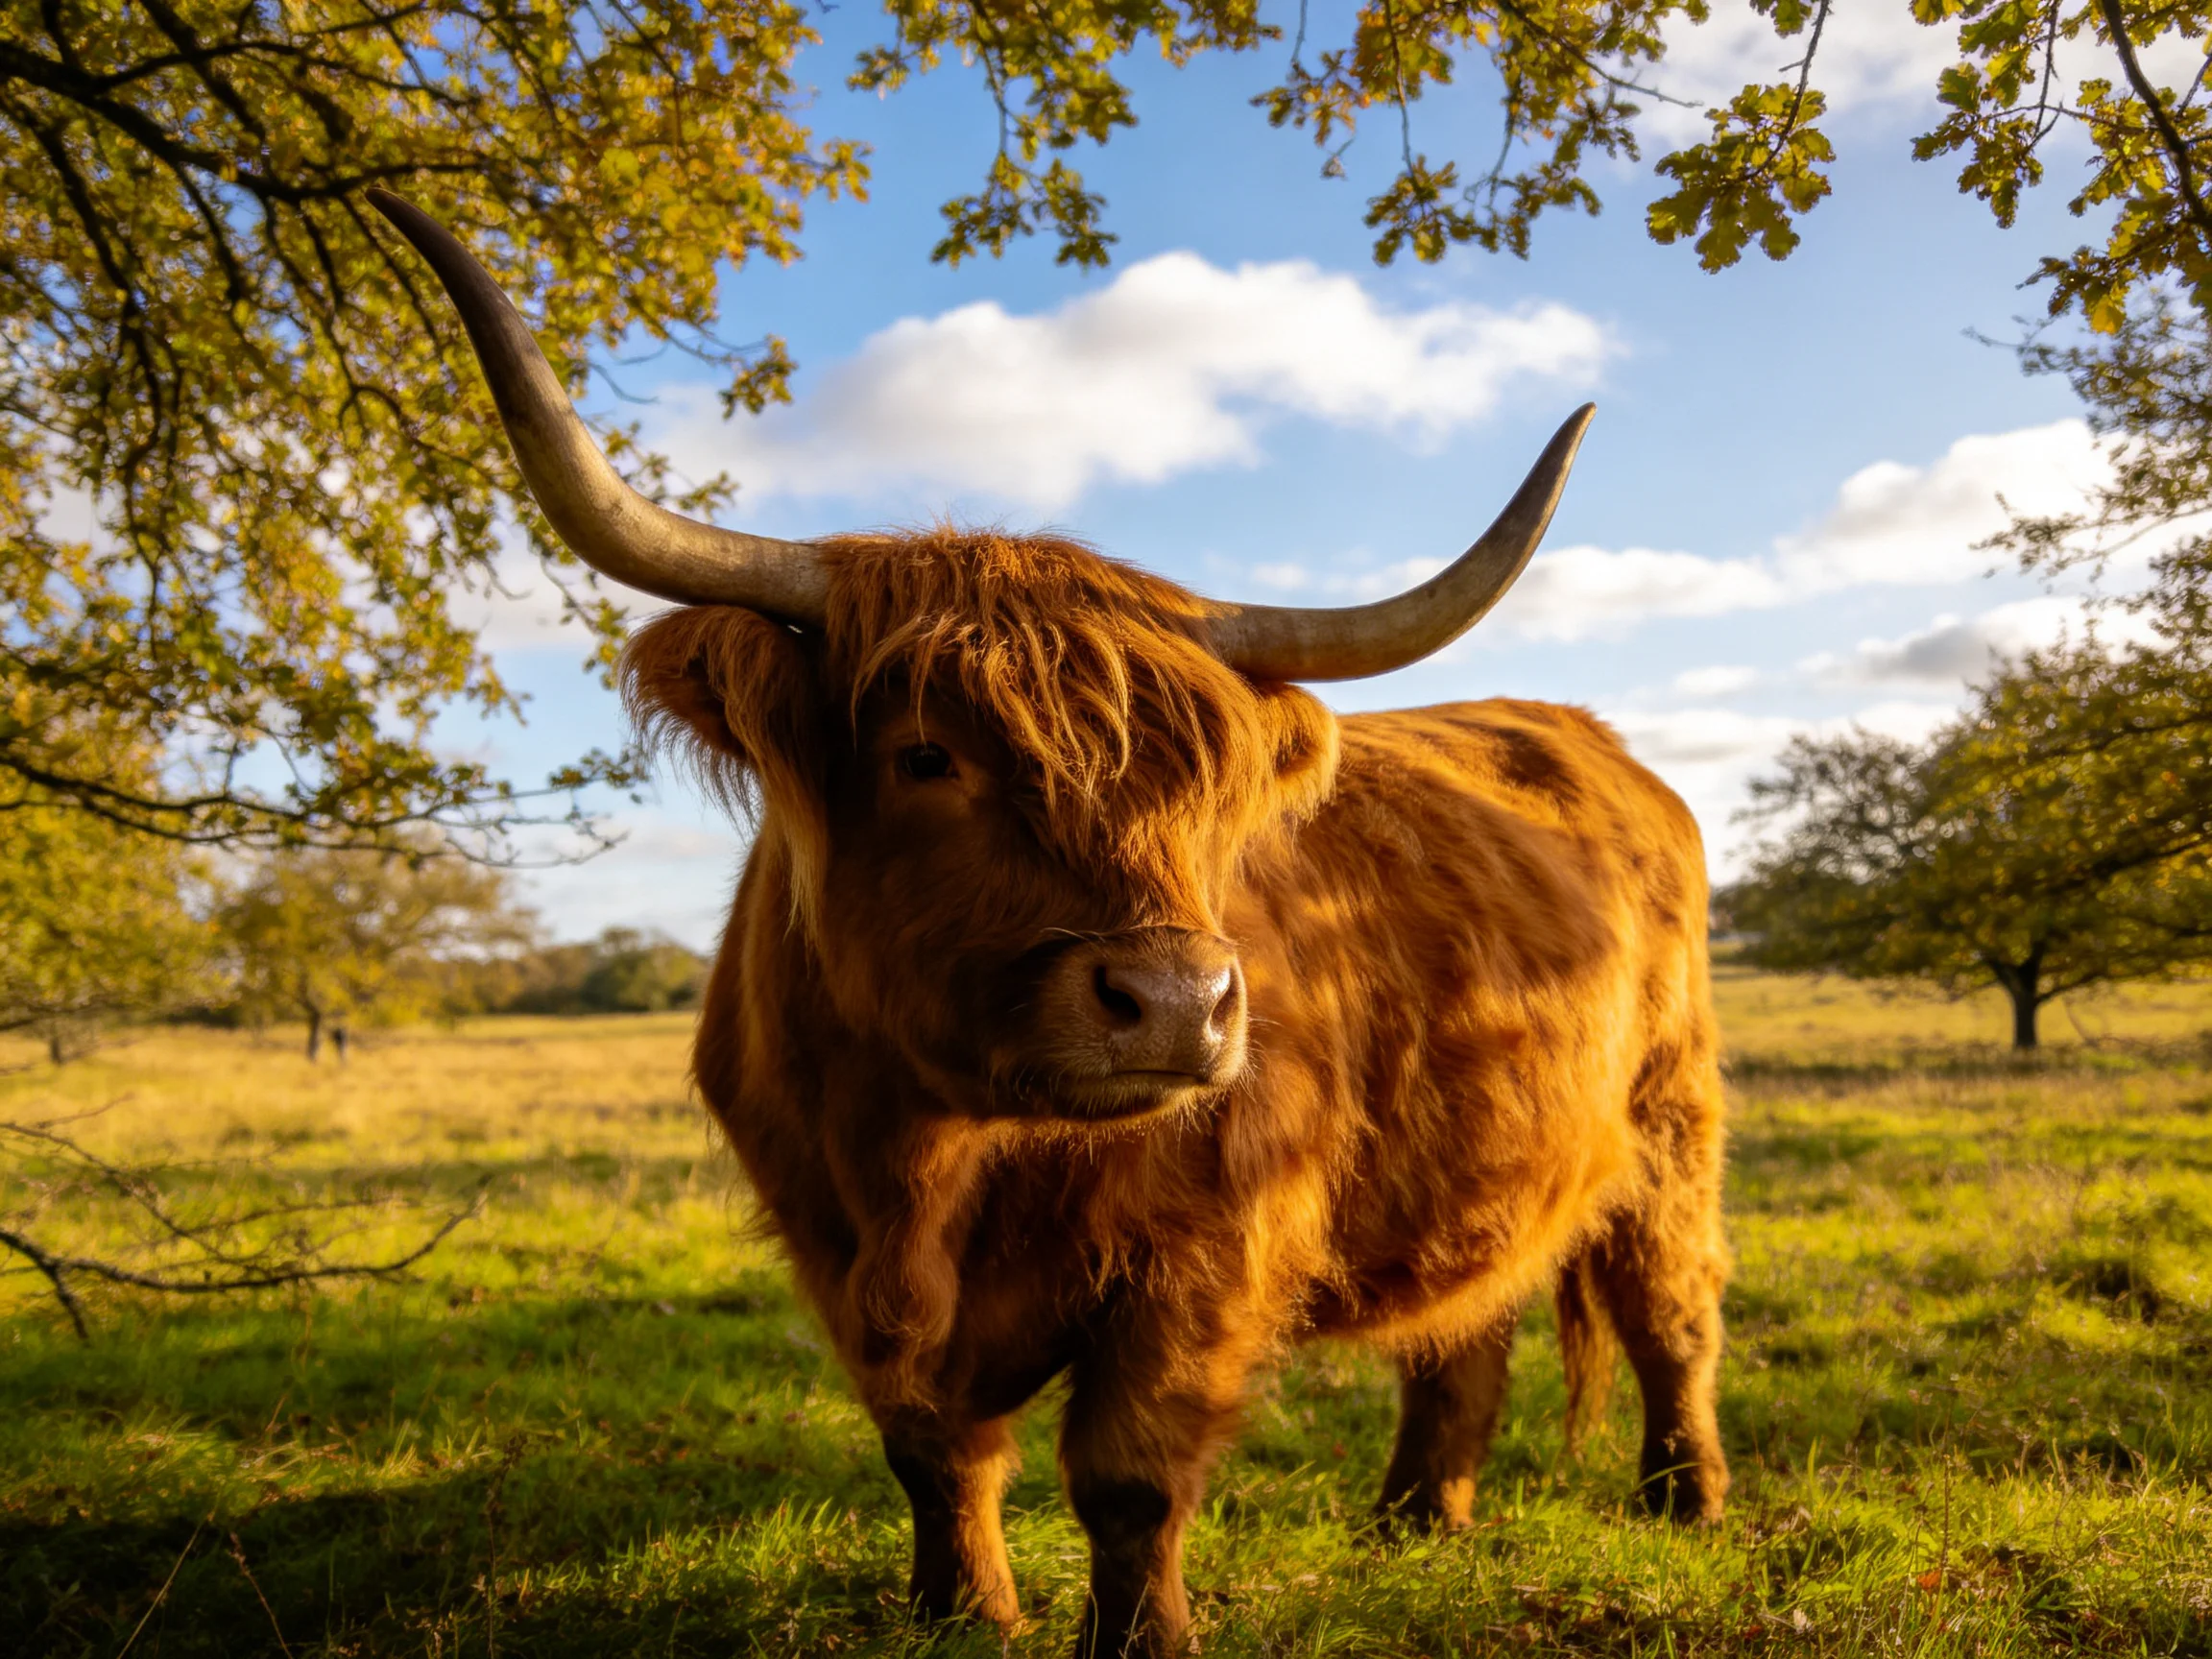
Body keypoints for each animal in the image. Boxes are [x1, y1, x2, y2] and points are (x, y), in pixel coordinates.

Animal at [370, 192, 1730, 1659]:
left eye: (1206, 784)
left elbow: (1128, 1474)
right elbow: (933, 1451)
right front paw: (960, 1609)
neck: (929, 1155)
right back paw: (1420, 1518)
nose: (1178, 1004)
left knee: (1672, 1306)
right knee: (1462, 1327)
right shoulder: (834, 1252)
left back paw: (1686, 1501)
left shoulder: (1202, 1257)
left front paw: (1140, 1639)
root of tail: (1592, 739)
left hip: (1671, 1121)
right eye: (924, 756)